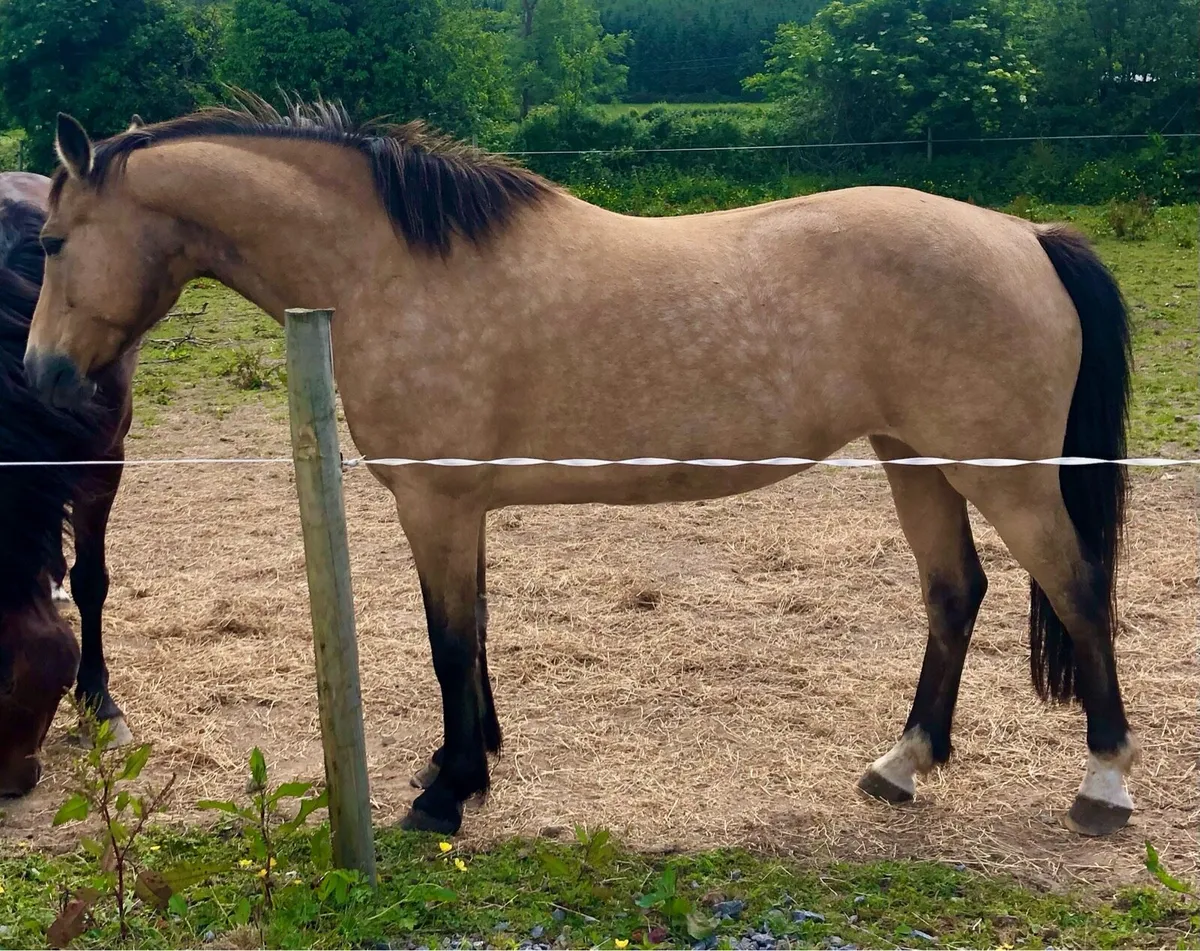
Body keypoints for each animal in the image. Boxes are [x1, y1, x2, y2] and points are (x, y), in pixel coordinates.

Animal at [24, 97, 1137, 838]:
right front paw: (471, 761)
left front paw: (443, 795)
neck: (392, 268)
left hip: (1004, 473)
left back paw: (1105, 783)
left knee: (1078, 588)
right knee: (956, 593)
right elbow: (472, 635)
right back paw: (902, 764)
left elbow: (449, 643)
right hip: (918, 461)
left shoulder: (434, 502)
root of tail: (1025, 235)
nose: (42, 374)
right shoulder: (460, 505)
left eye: (51, 240)